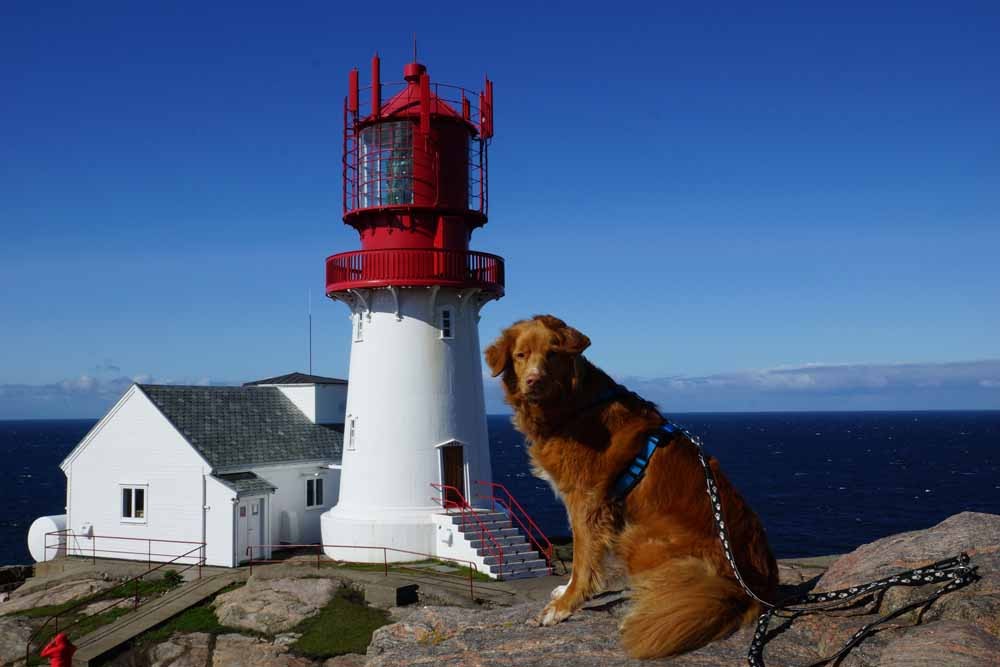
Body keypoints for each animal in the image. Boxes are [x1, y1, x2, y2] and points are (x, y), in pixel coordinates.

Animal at [484, 314, 780, 656]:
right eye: (521, 355)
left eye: (553, 354)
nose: (533, 380)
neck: (575, 405)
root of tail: (756, 588)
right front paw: (564, 593)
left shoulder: (586, 502)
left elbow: (583, 560)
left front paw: (564, 606)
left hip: (640, 538)